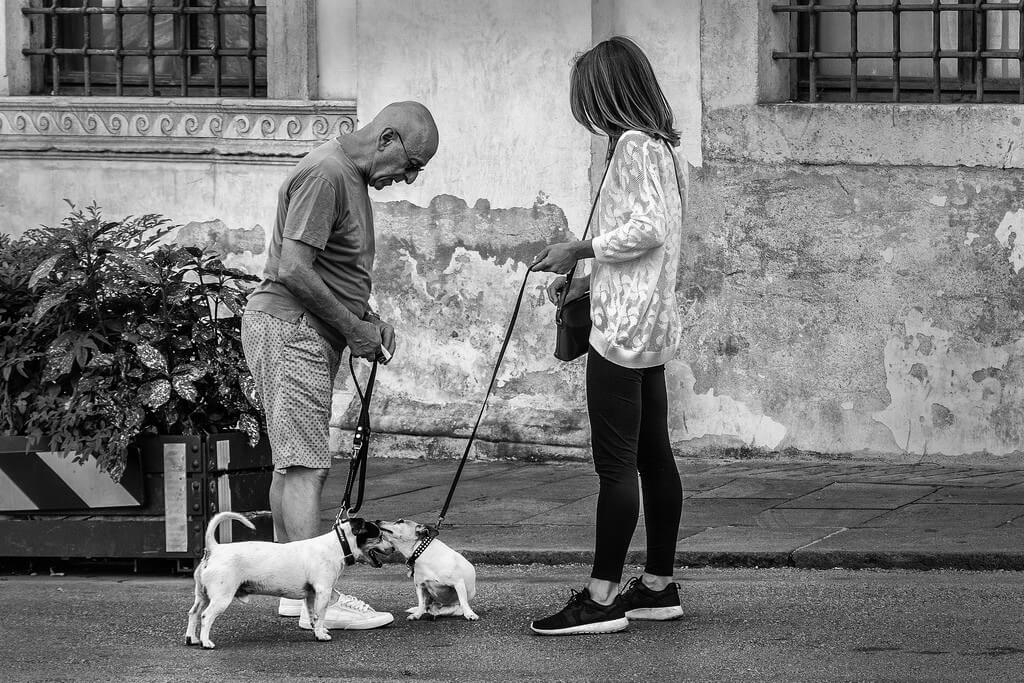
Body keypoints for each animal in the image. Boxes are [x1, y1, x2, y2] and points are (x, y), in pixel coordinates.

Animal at [184, 509, 391, 651]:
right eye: (379, 535)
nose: (392, 547)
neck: (338, 545)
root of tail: (214, 549)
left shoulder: (311, 595)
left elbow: (313, 616)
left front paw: (317, 631)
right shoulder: (323, 592)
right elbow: (320, 616)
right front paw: (321, 635)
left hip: (202, 596)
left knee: (194, 613)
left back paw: (191, 639)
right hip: (221, 598)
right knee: (205, 616)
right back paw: (206, 642)